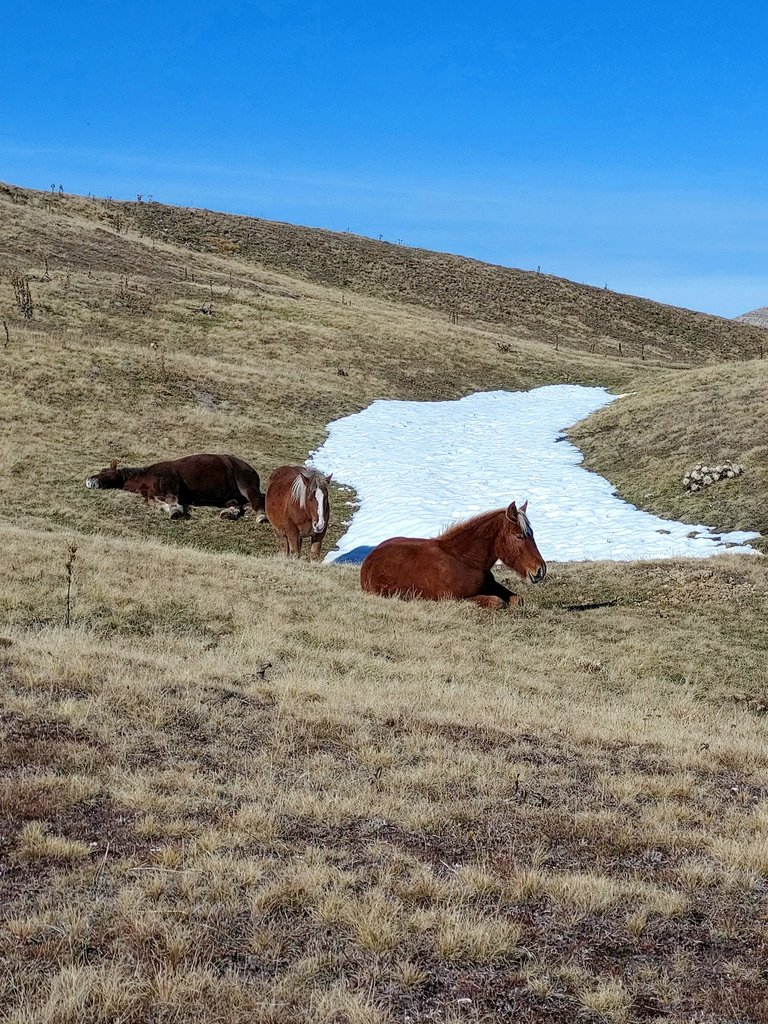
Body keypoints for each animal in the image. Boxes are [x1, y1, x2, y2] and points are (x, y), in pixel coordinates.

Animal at [83, 454, 268, 520]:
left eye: (104, 472)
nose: (89, 481)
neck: (147, 475)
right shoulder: (152, 492)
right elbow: (152, 501)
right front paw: (165, 508)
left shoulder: (170, 482)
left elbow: (172, 498)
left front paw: (174, 510)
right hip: (231, 496)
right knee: (236, 504)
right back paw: (229, 513)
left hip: (246, 484)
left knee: (256, 500)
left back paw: (261, 516)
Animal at [360, 501, 548, 606]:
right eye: (519, 536)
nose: (540, 570)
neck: (463, 561)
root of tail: (368, 561)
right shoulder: (451, 598)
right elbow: (498, 602)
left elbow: (517, 599)